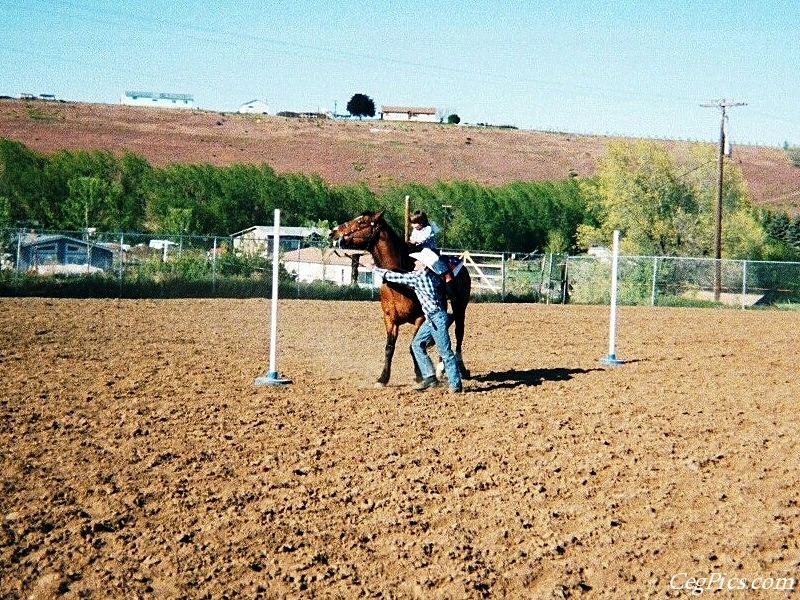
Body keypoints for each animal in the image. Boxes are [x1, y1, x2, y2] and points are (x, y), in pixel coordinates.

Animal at [330, 211, 472, 386]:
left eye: (361, 222)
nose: (333, 232)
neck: (399, 284)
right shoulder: (390, 320)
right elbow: (389, 347)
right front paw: (383, 378)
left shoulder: (420, 318)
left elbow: (413, 346)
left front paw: (419, 375)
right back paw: (441, 368)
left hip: (460, 307)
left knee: (459, 334)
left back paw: (461, 368)